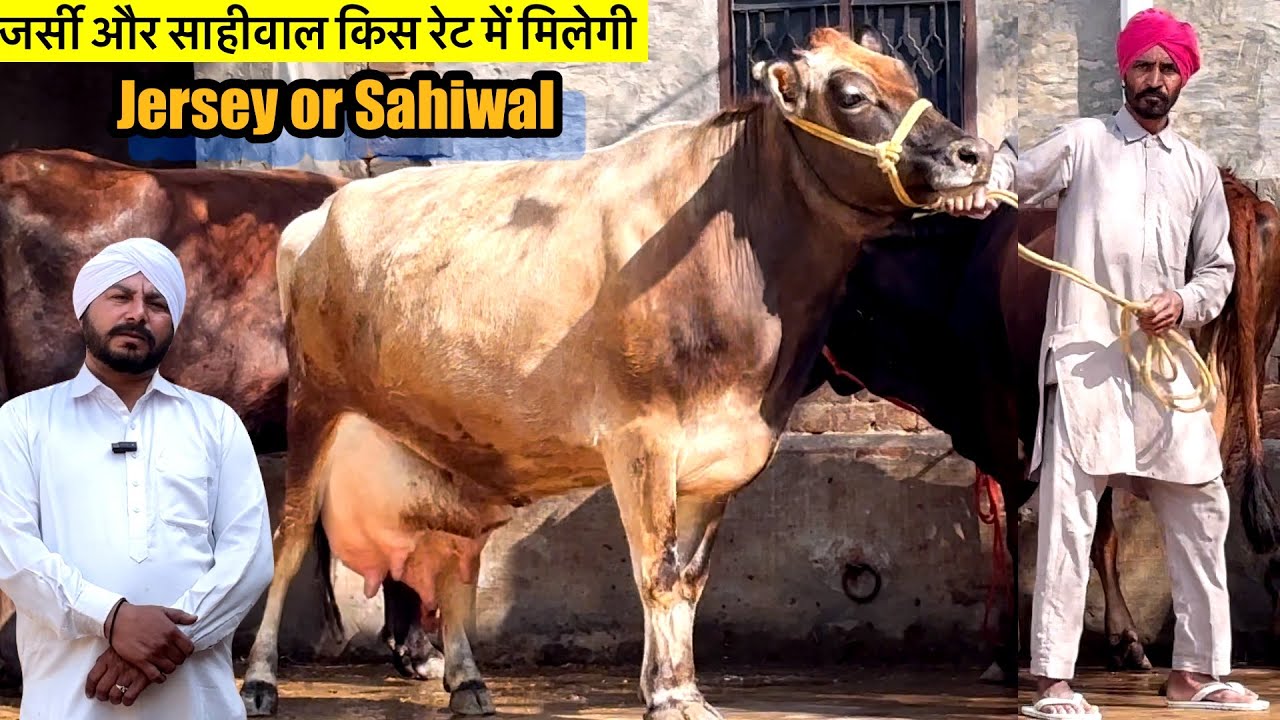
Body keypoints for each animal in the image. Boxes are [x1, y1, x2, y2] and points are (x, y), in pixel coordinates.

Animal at [234, 26, 996, 719]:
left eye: (907, 73)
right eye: (851, 94)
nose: (975, 153)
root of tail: (319, 212)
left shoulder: (723, 455)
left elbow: (690, 580)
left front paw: (679, 686)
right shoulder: (641, 438)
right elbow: (655, 571)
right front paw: (669, 694)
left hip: (447, 449)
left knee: (455, 560)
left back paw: (468, 681)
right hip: (314, 409)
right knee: (290, 542)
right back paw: (261, 681)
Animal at [807, 166, 1280, 686]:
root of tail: (1235, 190)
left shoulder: (998, 416)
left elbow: (1016, 529)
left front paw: (1008, 653)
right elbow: (1102, 534)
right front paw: (1124, 640)